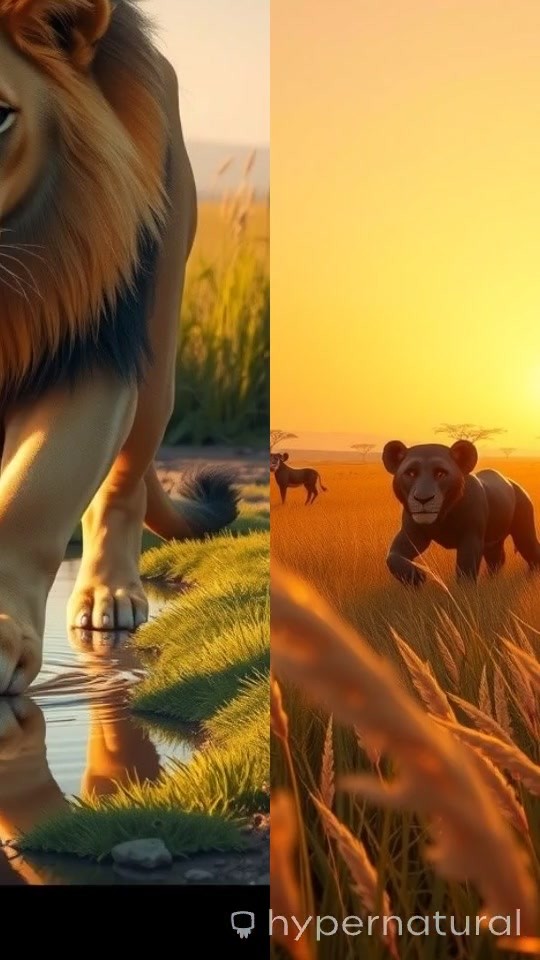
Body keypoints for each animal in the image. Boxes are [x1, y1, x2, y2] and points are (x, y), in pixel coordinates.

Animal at [382, 439, 540, 585]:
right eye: (411, 473)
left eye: (440, 473)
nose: (423, 498)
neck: (443, 515)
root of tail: (512, 483)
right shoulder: (413, 535)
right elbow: (393, 556)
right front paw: (417, 576)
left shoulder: (471, 535)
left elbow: (466, 566)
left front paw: (465, 592)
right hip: (492, 542)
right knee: (497, 559)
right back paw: (490, 580)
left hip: (523, 529)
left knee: (531, 550)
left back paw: (531, 577)